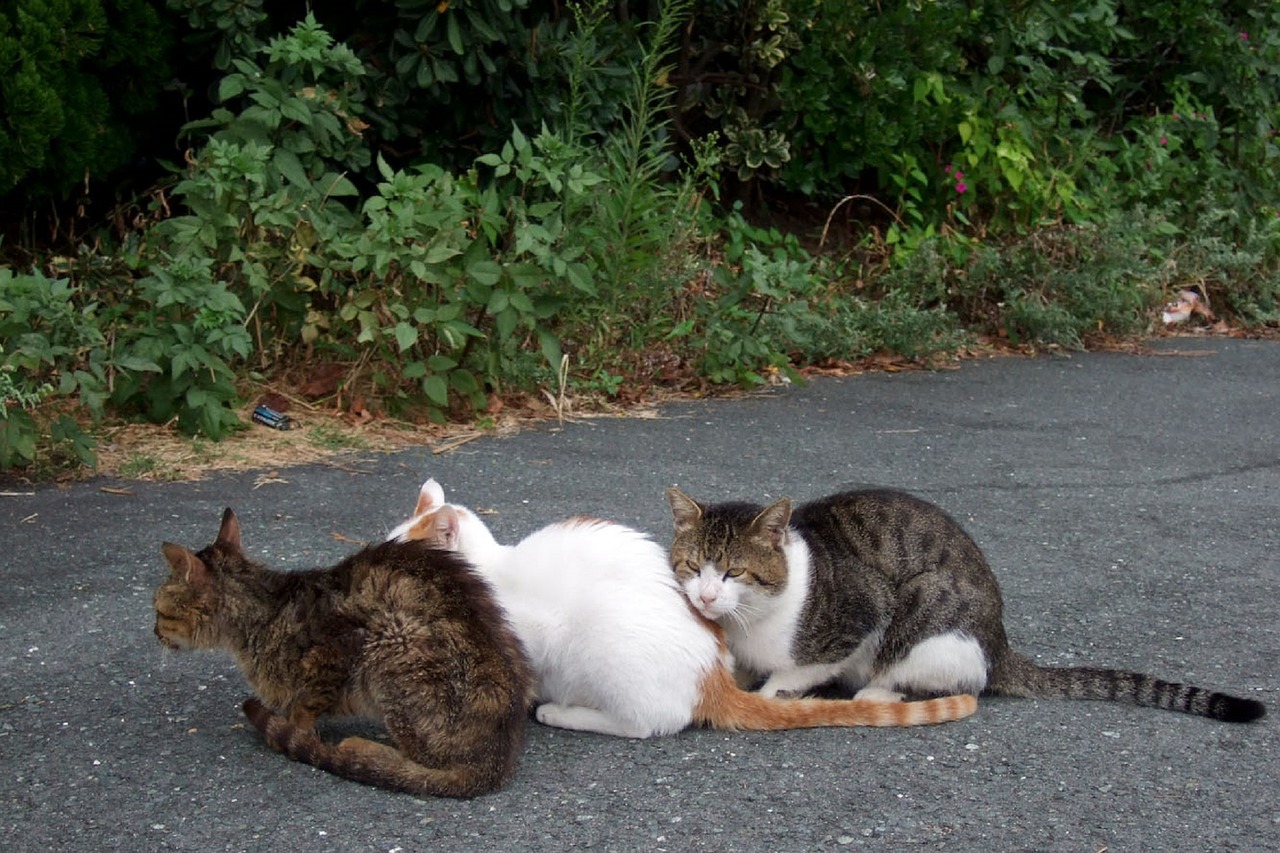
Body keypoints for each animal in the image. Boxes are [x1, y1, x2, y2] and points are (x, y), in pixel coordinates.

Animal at [156, 507, 535, 794]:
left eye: (157, 610)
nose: (154, 632)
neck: (261, 611)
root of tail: (494, 763)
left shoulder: (337, 651)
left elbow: (304, 709)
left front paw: (299, 733)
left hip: (391, 642)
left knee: (420, 763)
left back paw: (363, 750)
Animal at [665, 481, 1264, 722]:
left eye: (735, 571)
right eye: (693, 568)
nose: (708, 595)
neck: (750, 623)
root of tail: (1000, 640)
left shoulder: (863, 612)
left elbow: (799, 672)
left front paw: (773, 693)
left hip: (929, 611)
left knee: (946, 676)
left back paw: (877, 692)